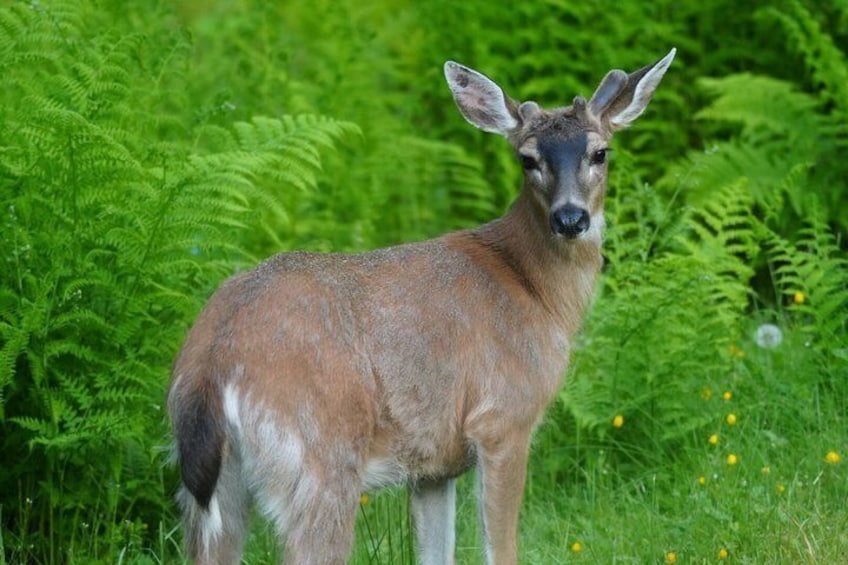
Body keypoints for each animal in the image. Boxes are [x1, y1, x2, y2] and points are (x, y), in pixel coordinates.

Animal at [168, 49, 676, 565]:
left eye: (600, 152)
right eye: (527, 158)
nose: (570, 218)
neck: (536, 291)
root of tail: (211, 363)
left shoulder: (434, 462)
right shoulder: (502, 418)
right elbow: (501, 548)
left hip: (212, 490)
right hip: (319, 461)